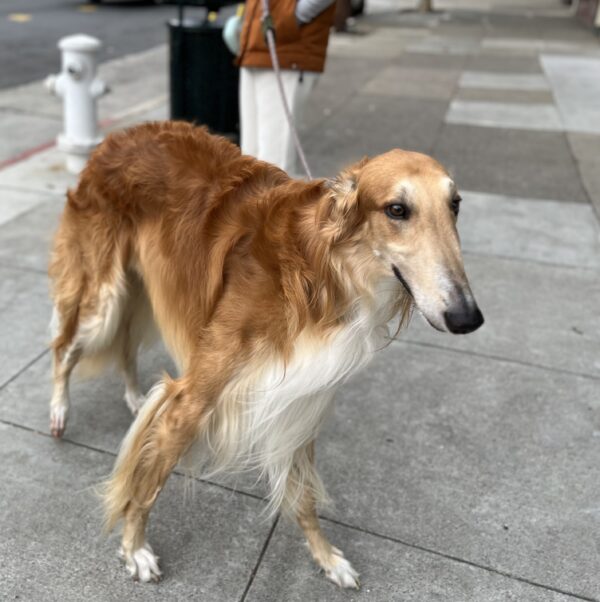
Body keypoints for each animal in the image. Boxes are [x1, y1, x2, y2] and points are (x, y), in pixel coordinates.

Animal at [49, 120, 486, 584]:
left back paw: (132, 395)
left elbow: (305, 499)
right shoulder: (192, 399)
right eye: (397, 210)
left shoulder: (301, 398)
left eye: (455, 204)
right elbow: (148, 483)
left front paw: (327, 559)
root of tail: (118, 136)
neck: (316, 270)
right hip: (102, 298)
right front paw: (134, 549)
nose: (467, 317)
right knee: (65, 347)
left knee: (126, 343)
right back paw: (59, 411)